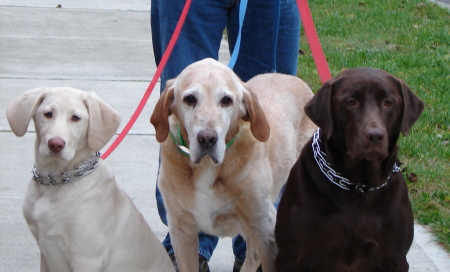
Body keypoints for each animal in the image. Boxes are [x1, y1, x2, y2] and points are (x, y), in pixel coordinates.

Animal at [7, 87, 176, 272]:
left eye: (75, 118)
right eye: (48, 114)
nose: (55, 144)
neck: (56, 182)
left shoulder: (86, 258)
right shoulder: (45, 253)